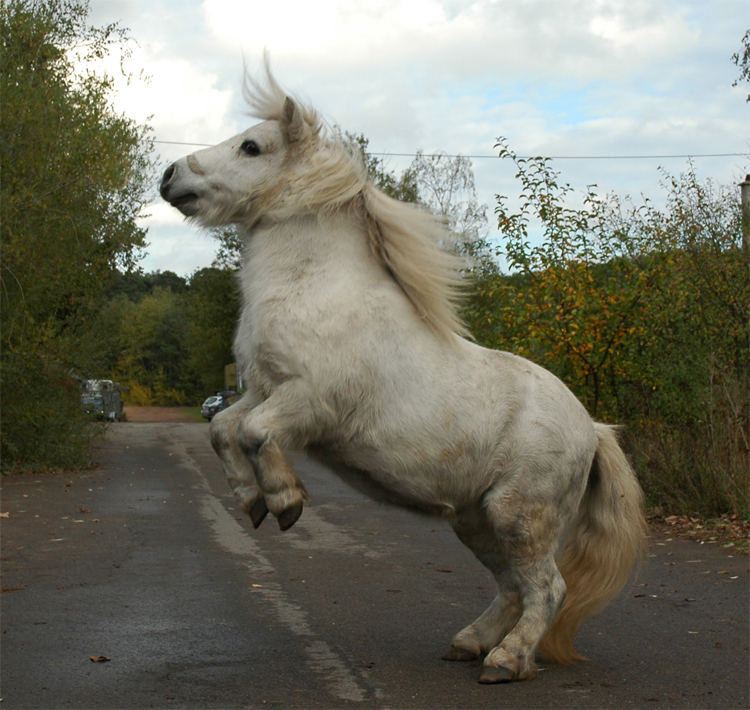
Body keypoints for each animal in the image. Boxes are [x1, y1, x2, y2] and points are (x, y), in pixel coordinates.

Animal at [162, 64, 648, 688]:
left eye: (252, 146)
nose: (169, 176)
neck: (315, 289)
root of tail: (593, 429)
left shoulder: (309, 404)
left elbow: (254, 433)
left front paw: (286, 502)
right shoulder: (265, 390)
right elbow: (223, 428)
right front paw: (251, 502)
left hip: (521, 515)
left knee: (547, 588)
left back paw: (507, 661)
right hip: (476, 521)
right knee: (513, 587)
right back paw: (470, 644)